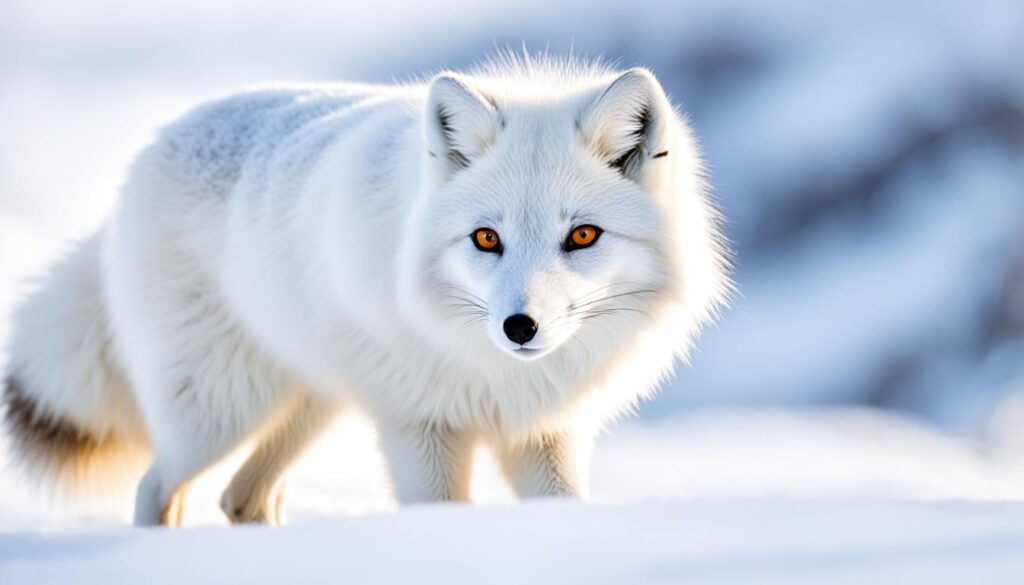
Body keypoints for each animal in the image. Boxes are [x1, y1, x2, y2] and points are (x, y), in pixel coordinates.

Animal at [2, 55, 730, 526]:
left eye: (582, 236)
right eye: (486, 238)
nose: (519, 327)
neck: (502, 377)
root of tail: (146, 154)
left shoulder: (545, 435)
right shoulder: (418, 425)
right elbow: (439, 513)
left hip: (309, 405)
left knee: (244, 497)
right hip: (217, 411)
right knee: (157, 489)